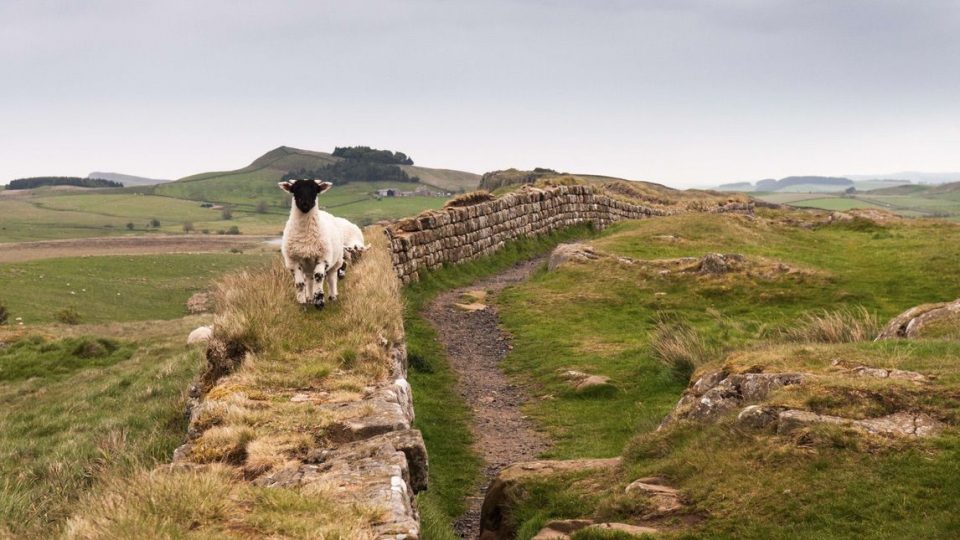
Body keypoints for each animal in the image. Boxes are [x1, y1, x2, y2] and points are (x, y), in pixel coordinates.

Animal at [278, 179, 345, 309]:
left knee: (331, 278)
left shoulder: (323, 258)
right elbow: (300, 284)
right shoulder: (293, 261)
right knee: (309, 279)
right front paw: (302, 303)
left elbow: (319, 277)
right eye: (295, 190)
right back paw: (309, 298)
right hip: (308, 265)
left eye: (315, 190)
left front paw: (319, 301)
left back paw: (332, 297)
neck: (305, 237)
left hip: (335, 261)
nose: (305, 204)